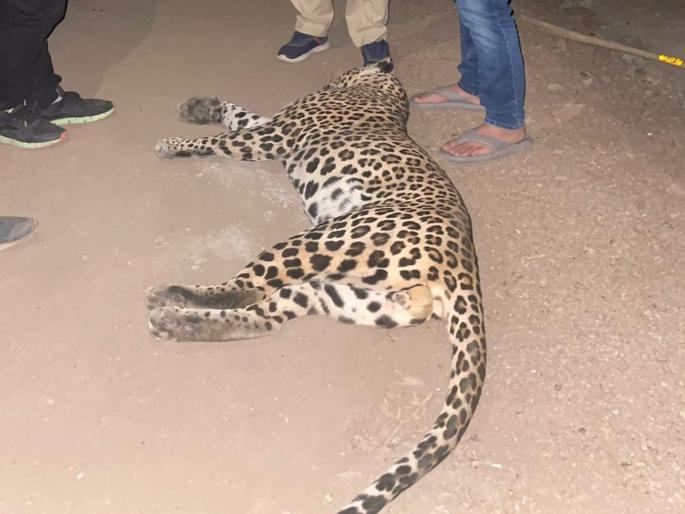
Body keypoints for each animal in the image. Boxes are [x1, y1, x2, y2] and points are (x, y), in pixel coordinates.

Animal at [148, 61, 486, 514]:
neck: (386, 92)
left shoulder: (274, 134)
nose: (334, 73)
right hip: (344, 294)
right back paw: (174, 322)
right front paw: (201, 106)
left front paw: (174, 143)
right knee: (265, 316)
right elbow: (239, 113)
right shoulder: (273, 125)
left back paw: (169, 297)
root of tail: (464, 259)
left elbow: (222, 139)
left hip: (323, 238)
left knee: (247, 288)